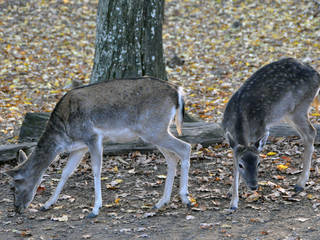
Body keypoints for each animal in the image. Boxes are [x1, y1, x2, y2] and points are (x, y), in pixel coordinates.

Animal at [5, 77, 190, 218]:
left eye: (14, 185)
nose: (17, 208)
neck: (64, 135)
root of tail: (178, 92)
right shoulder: (79, 147)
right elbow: (66, 172)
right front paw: (47, 204)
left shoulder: (93, 137)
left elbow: (96, 170)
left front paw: (95, 209)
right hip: (154, 131)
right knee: (172, 158)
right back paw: (161, 202)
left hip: (154, 129)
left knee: (185, 147)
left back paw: (185, 198)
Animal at [222, 58, 320, 210]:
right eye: (241, 165)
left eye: (259, 163)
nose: (254, 186)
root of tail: (317, 74)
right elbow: (233, 163)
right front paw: (232, 198)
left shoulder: (261, 129)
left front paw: (233, 202)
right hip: (287, 113)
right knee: (307, 134)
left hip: (299, 107)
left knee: (310, 132)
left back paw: (300, 184)